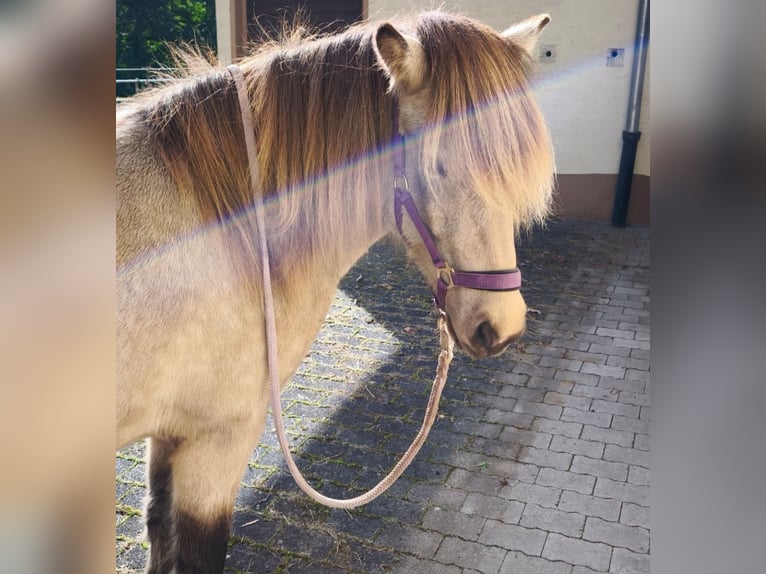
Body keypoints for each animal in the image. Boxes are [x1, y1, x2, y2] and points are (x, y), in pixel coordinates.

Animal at [116, 11, 554, 573]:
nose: (502, 325)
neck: (233, 234)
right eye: (440, 166)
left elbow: (157, 529)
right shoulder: (217, 441)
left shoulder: (170, 433)